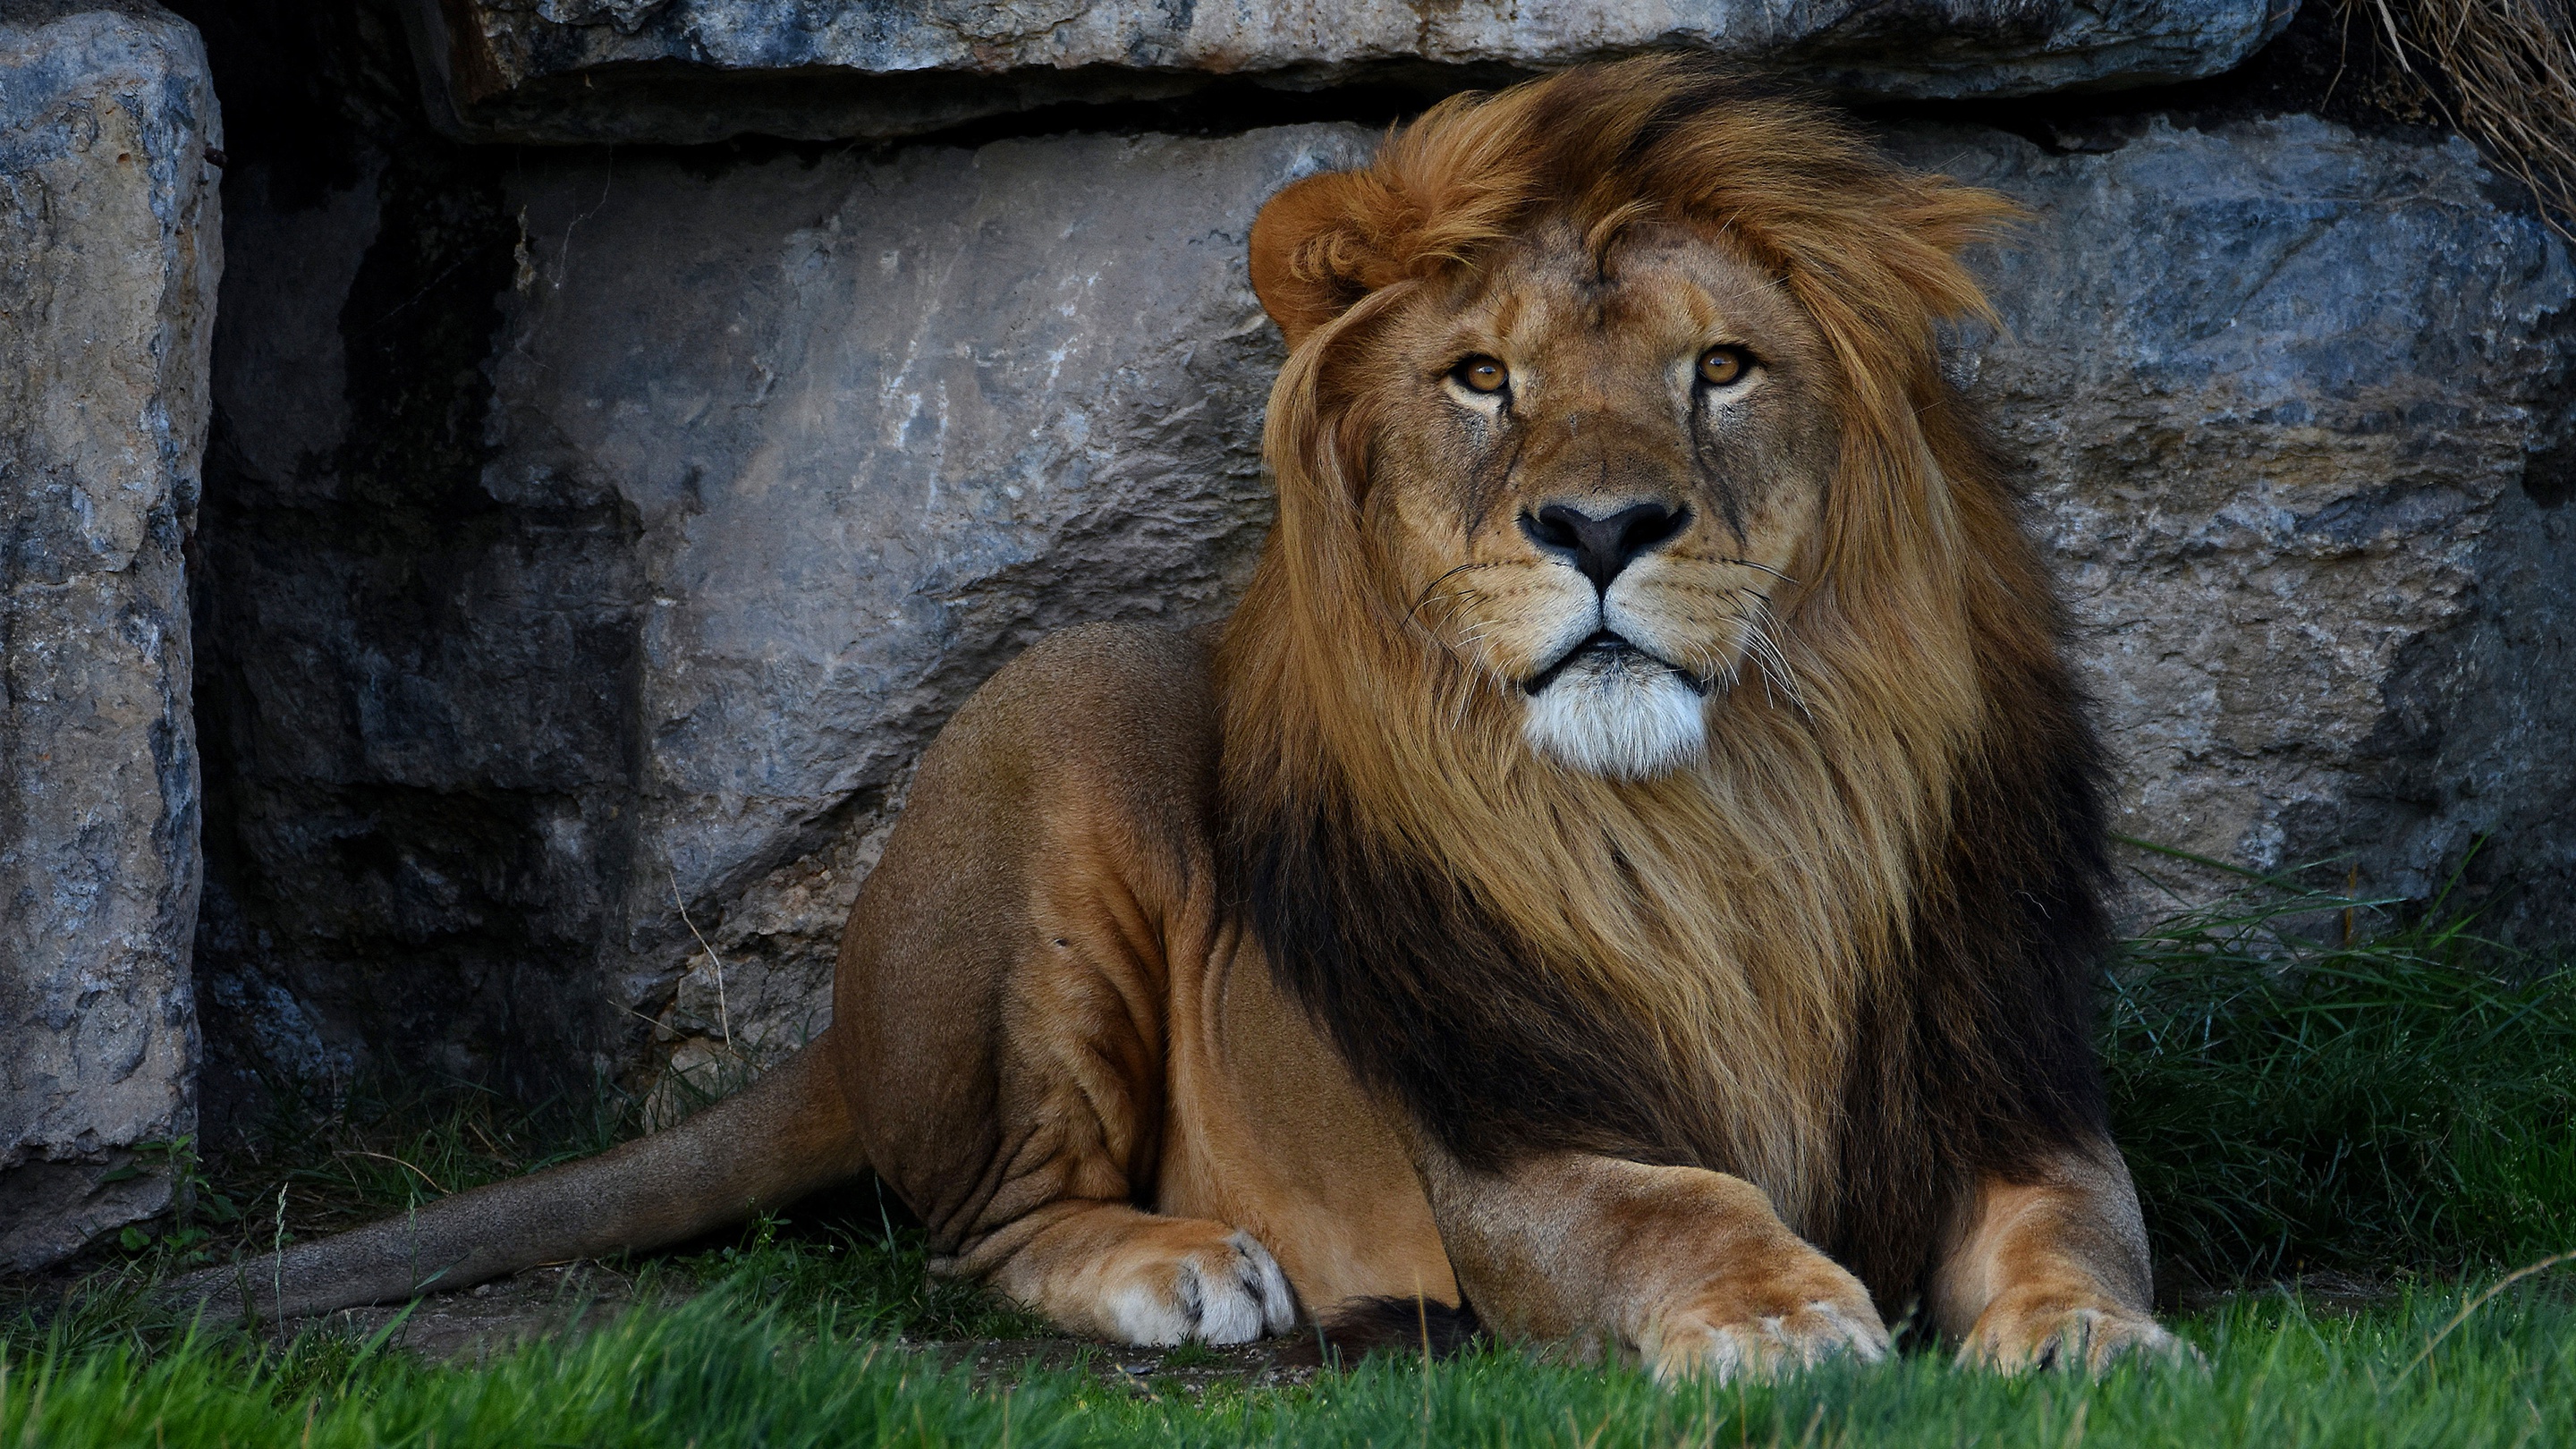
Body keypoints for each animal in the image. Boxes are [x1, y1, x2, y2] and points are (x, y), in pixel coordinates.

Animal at [182, 53, 2184, 1360]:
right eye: (1482, 379)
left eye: (1724, 368)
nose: (1603, 527)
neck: (1725, 823)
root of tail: (838, 1029)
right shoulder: (1502, 1143)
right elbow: (1666, 1203)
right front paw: (1776, 1312)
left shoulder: (2010, 1074)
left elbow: (2083, 1223)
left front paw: (2088, 1341)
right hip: (1065, 721)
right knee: (974, 1230)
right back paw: (1186, 1273)